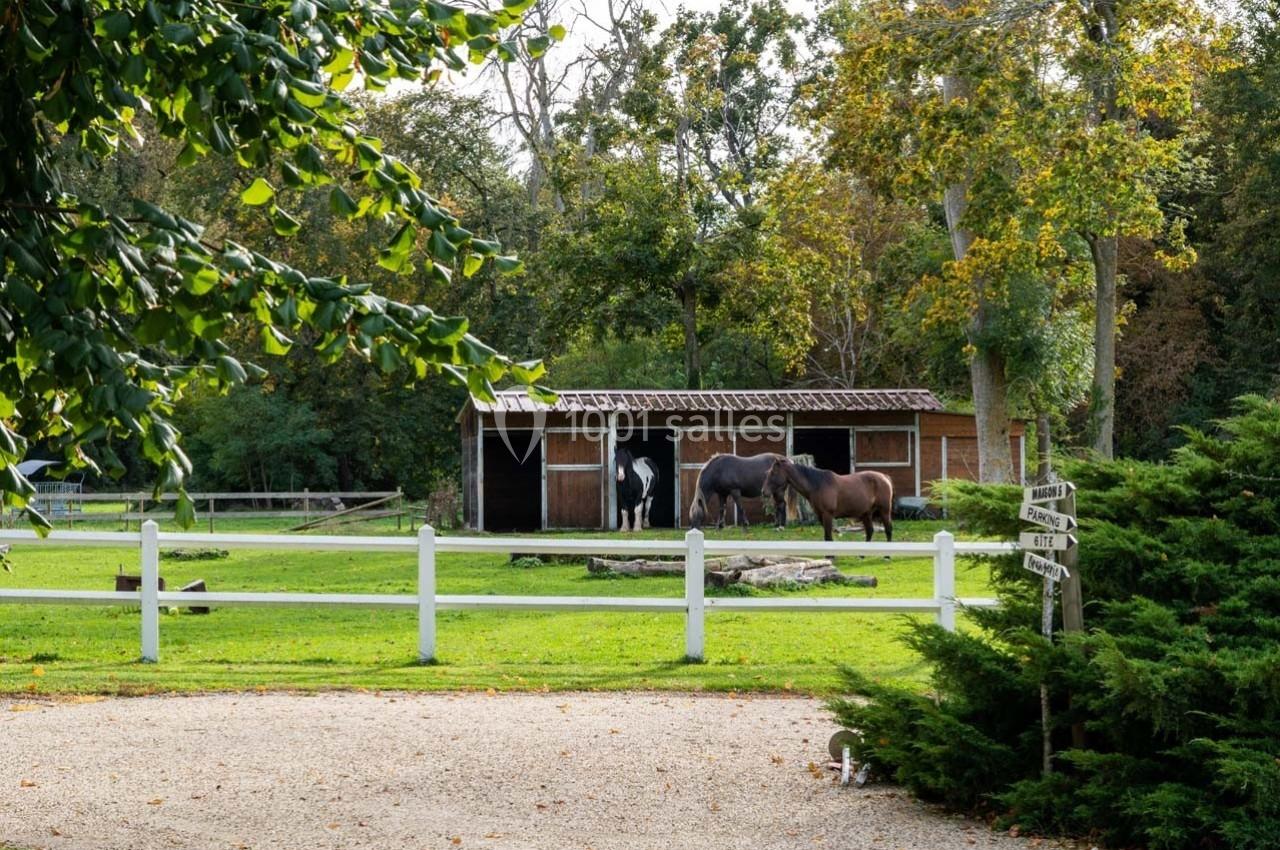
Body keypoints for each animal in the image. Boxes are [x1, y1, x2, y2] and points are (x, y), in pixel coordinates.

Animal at [763, 457, 894, 543]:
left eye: (773, 472)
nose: (764, 492)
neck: (818, 485)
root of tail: (884, 477)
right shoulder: (821, 516)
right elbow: (827, 537)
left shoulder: (827, 515)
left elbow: (828, 537)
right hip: (866, 513)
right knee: (870, 531)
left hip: (884, 511)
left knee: (888, 530)